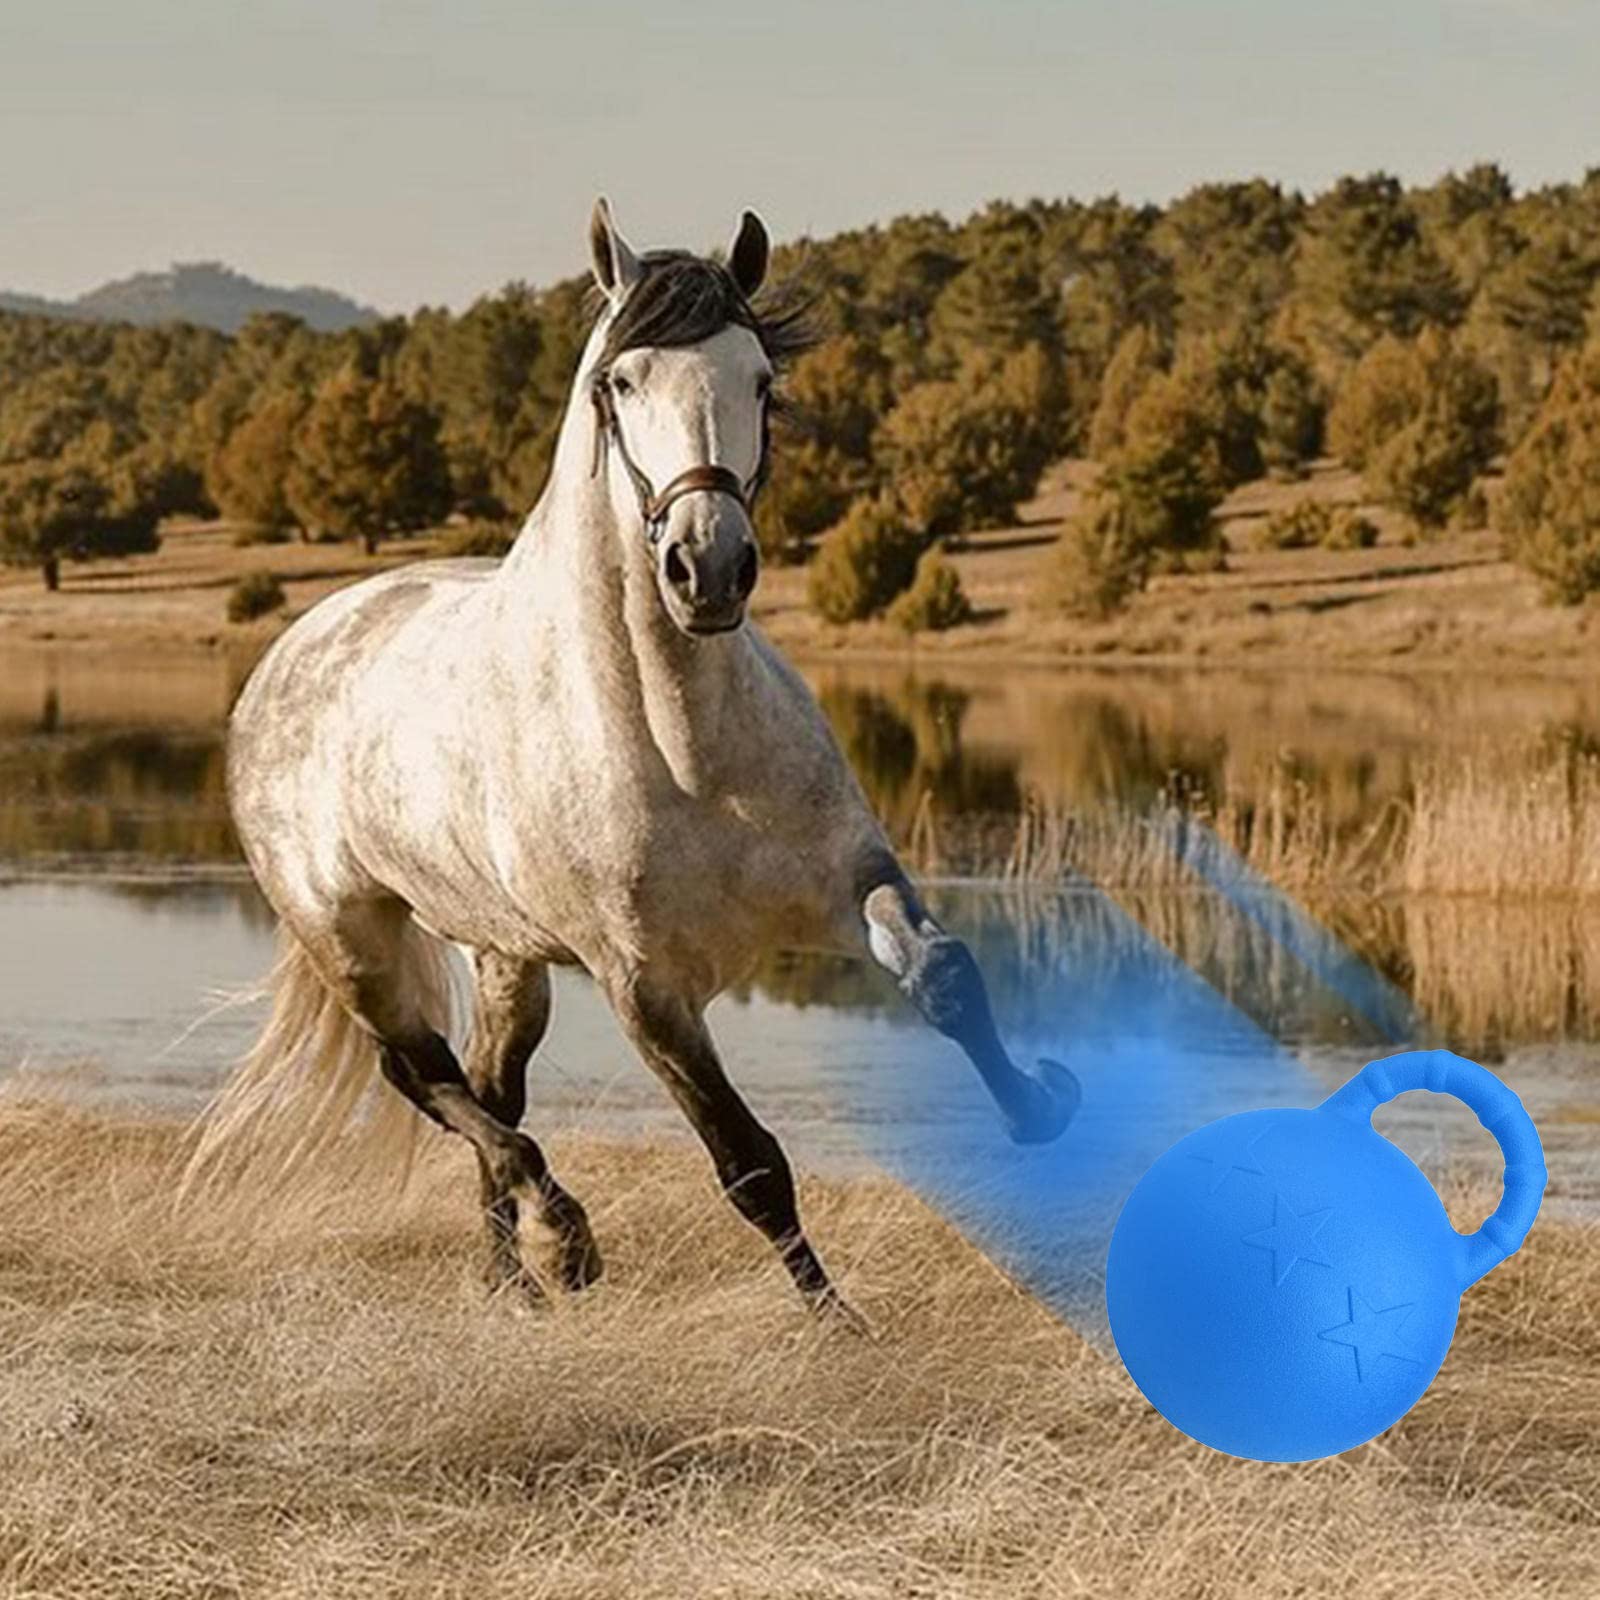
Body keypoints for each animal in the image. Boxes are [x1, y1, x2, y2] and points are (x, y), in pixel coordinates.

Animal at [194, 199, 1081, 1318]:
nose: (708, 567)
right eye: (618, 383)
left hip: (506, 956)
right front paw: (839, 1326)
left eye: (760, 377)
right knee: (426, 1077)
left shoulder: (849, 881)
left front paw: (1043, 1104)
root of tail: (292, 648)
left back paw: (513, 1282)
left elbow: (948, 977)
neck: (683, 747)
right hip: (351, 939)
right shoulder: (645, 989)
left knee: (488, 1085)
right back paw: (563, 1241)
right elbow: (748, 1164)